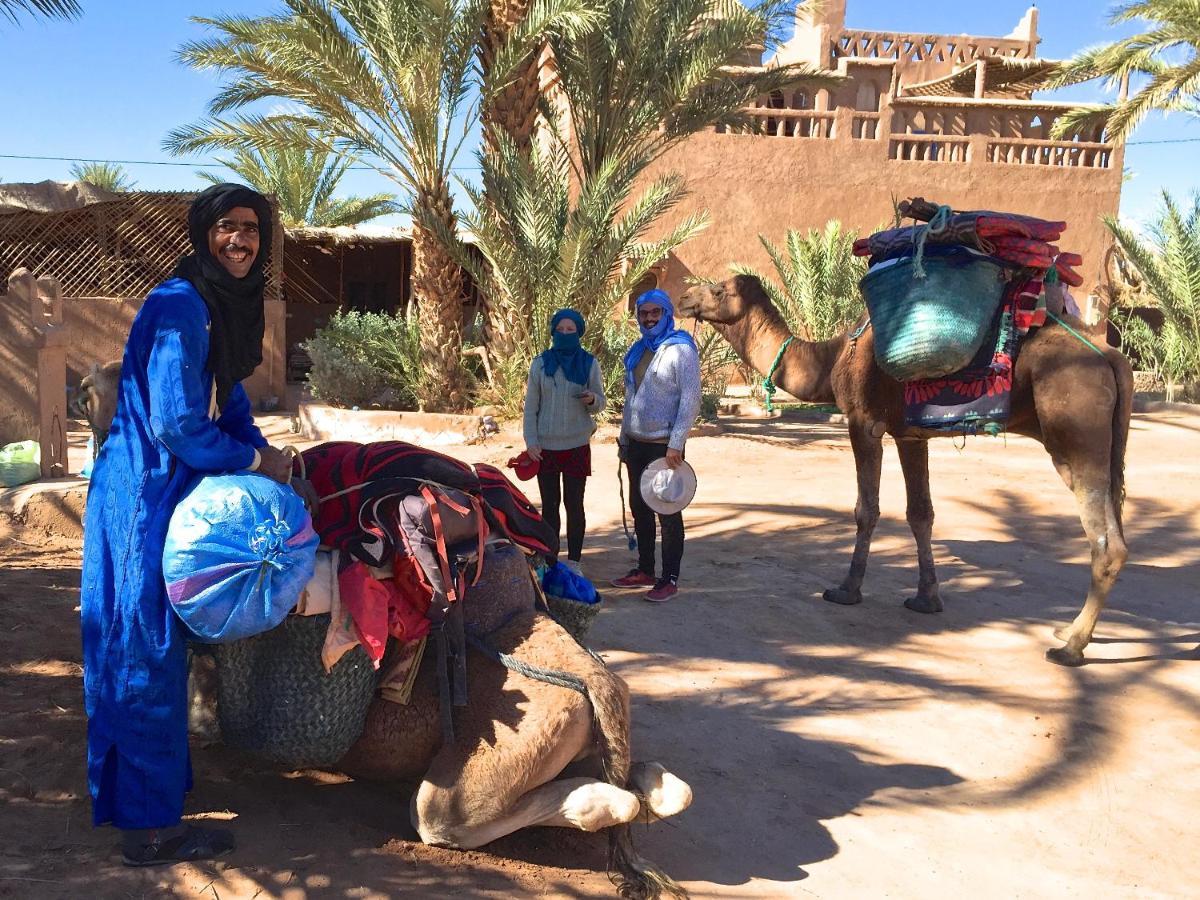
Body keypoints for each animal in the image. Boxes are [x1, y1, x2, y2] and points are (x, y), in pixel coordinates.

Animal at [681, 277, 1128, 672]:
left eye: (718, 289)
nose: (685, 298)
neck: (834, 357)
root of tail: (1111, 357)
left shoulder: (864, 421)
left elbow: (867, 510)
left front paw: (846, 590)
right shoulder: (911, 434)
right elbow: (921, 514)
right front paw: (926, 598)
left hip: (1075, 431)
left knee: (1106, 541)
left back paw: (1071, 647)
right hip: (1108, 445)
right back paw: (1067, 631)